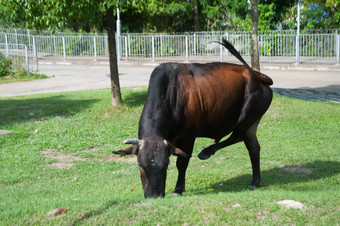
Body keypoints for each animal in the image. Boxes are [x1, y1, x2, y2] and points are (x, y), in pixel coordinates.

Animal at [113, 39, 272, 198]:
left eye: (166, 165)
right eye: (139, 165)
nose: (154, 195)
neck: (169, 94)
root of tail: (257, 75)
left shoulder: (188, 137)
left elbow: (182, 163)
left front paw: (178, 189)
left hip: (246, 117)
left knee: (237, 136)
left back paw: (206, 152)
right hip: (252, 123)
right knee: (253, 148)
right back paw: (255, 182)